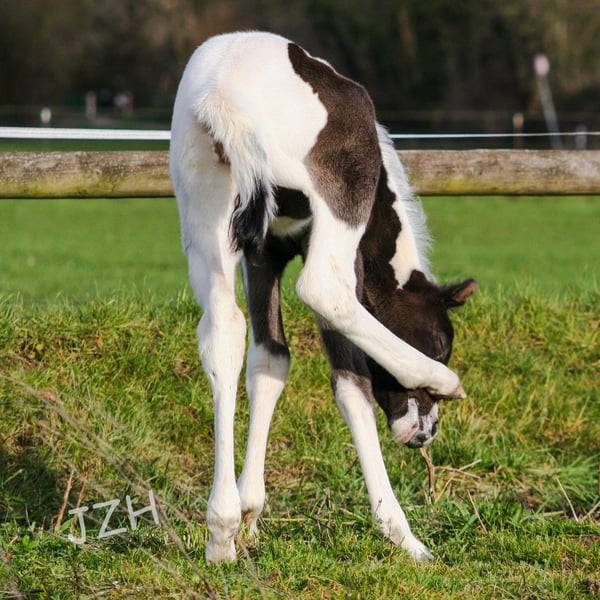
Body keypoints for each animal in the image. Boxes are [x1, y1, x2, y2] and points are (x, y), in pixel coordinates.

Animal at [169, 31, 476, 563]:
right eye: (441, 343)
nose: (425, 434)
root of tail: (223, 94)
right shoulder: (333, 246)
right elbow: (351, 382)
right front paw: (402, 535)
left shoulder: (262, 253)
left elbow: (270, 360)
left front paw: (249, 515)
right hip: (337, 199)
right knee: (321, 289)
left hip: (206, 209)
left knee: (223, 329)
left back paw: (220, 532)